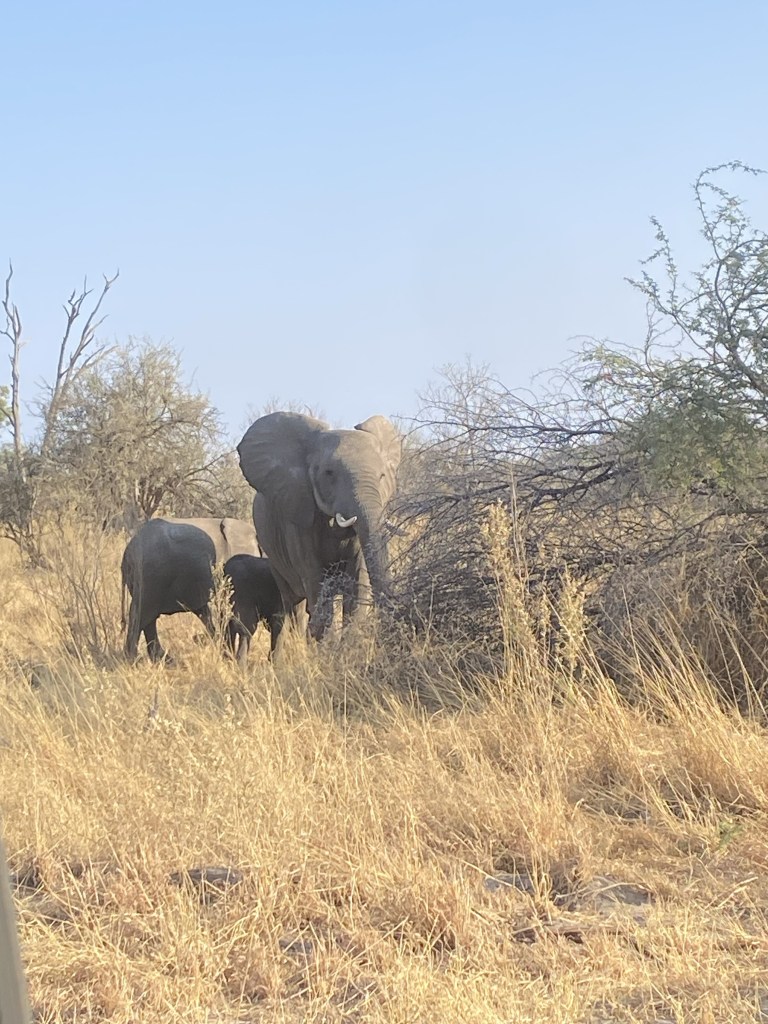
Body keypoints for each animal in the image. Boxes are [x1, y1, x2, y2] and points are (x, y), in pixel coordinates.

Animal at [121, 516, 260, 662]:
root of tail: (129, 551)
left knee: (147, 617)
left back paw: (163, 660)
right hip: (152, 575)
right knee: (141, 615)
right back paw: (133, 659)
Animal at [237, 411, 401, 642]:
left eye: (382, 476)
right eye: (329, 473)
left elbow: (358, 581)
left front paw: (350, 645)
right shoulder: (298, 517)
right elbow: (314, 577)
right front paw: (326, 645)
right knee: (292, 604)